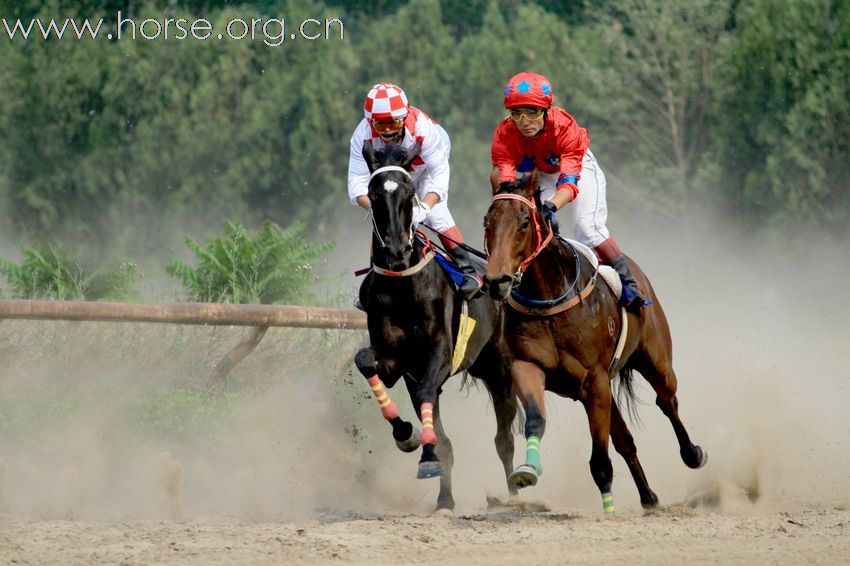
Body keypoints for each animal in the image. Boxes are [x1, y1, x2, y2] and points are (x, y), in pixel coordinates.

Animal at [352, 143, 516, 516]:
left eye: (409, 192)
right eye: (373, 194)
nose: (397, 251)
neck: (404, 287)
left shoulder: (438, 354)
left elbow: (429, 393)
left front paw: (425, 456)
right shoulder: (398, 364)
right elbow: (365, 361)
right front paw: (407, 435)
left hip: (500, 369)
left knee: (505, 438)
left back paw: (517, 494)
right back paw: (446, 497)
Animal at [480, 175, 704, 516]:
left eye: (523, 223)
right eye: (487, 223)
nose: (497, 281)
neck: (550, 298)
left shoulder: (594, 381)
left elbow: (600, 460)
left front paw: (609, 512)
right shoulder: (527, 367)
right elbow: (535, 419)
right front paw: (527, 470)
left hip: (656, 360)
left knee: (667, 401)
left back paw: (692, 453)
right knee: (626, 440)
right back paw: (649, 497)